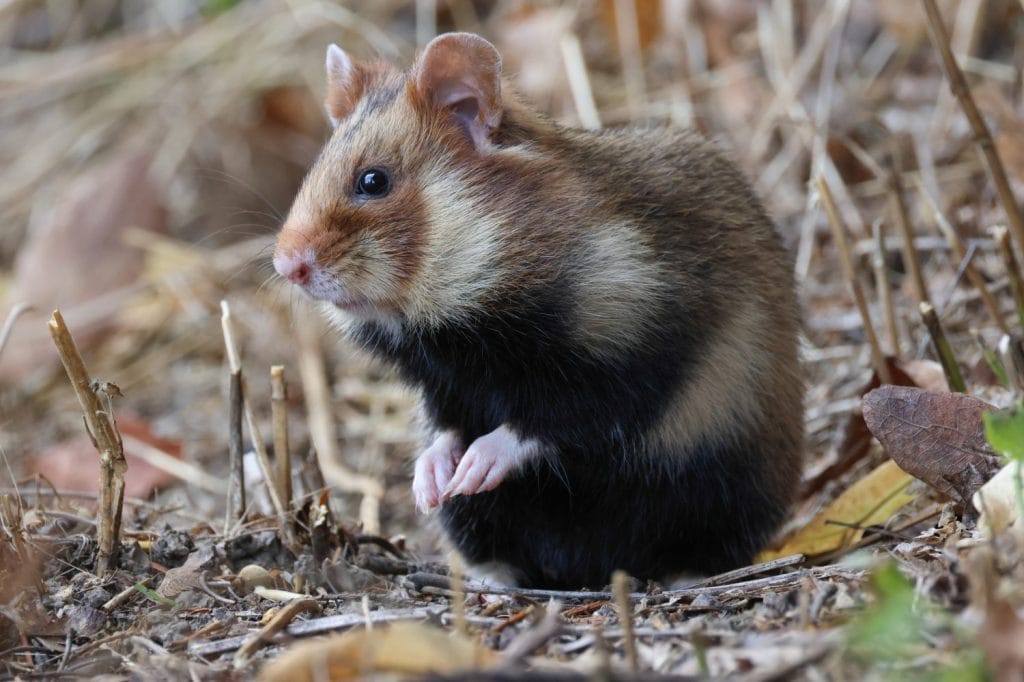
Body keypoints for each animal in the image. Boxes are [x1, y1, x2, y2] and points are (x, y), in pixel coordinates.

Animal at [273, 32, 803, 589]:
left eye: (373, 181)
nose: (285, 266)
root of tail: (588, 569)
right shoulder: (445, 387)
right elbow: (446, 430)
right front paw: (431, 484)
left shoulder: (630, 351)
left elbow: (545, 424)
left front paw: (473, 469)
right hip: (476, 523)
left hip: (718, 488)